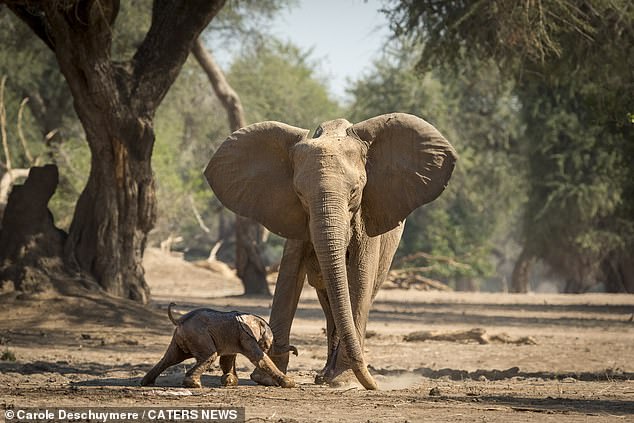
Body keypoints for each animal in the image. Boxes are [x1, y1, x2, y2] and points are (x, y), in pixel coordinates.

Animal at [139, 304, 296, 390]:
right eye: (268, 344)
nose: (296, 352)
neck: (254, 319)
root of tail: (180, 319)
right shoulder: (246, 336)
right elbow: (259, 358)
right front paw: (290, 383)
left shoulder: (233, 337)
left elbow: (227, 359)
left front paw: (229, 381)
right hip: (199, 335)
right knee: (209, 355)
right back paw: (194, 384)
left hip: (181, 337)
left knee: (170, 358)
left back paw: (146, 383)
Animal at [205, 113, 456, 390]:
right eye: (300, 194)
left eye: (355, 191)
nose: (374, 384)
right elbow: (289, 274)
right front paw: (267, 379)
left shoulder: (368, 214)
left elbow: (359, 277)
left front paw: (343, 380)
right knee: (329, 302)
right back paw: (325, 374)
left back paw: (331, 376)